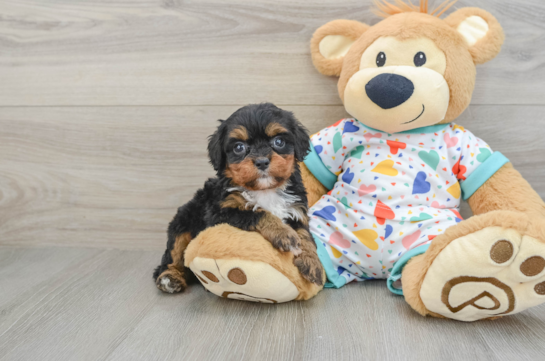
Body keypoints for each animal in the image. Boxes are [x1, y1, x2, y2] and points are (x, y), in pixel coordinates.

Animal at [153, 102, 324, 292]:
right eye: (239, 147)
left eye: (279, 142)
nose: (262, 161)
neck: (265, 190)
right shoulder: (220, 213)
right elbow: (256, 213)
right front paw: (284, 233)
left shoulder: (296, 210)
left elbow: (305, 235)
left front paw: (313, 263)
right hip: (182, 222)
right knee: (173, 255)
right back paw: (170, 277)